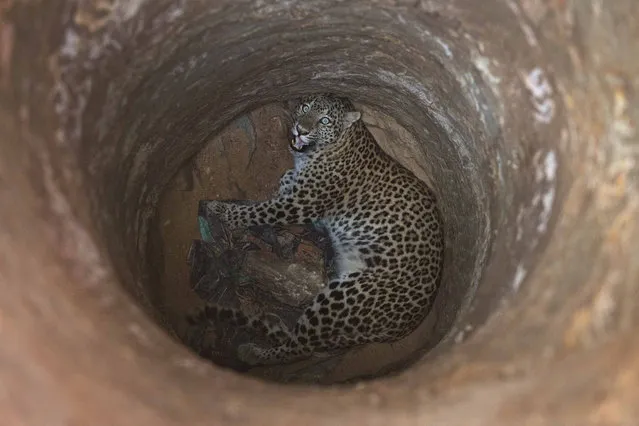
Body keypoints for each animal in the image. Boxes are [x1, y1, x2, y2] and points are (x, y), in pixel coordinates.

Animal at [190, 93, 444, 366]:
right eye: (305, 107)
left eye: (324, 120)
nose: (301, 130)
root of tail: (405, 327)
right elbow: (283, 183)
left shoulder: (300, 204)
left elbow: (258, 211)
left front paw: (222, 211)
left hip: (344, 298)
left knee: (300, 347)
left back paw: (254, 352)